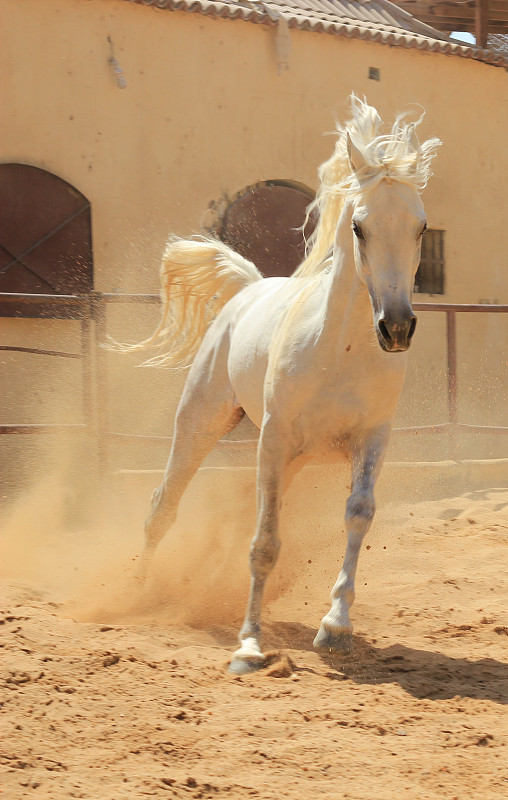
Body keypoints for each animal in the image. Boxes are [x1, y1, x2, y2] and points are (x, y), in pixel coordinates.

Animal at [122, 95, 436, 676]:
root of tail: (246, 290)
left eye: (421, 227)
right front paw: (248, 647)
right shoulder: (274, 439)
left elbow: (358, 515)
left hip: (290, 458)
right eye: (359, 227)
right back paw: (136, 592)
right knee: (163, 505)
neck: (339, 353)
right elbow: (265, 544)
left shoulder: (371, 439)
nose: (398, 327)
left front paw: (335, 628)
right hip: (204, 422)